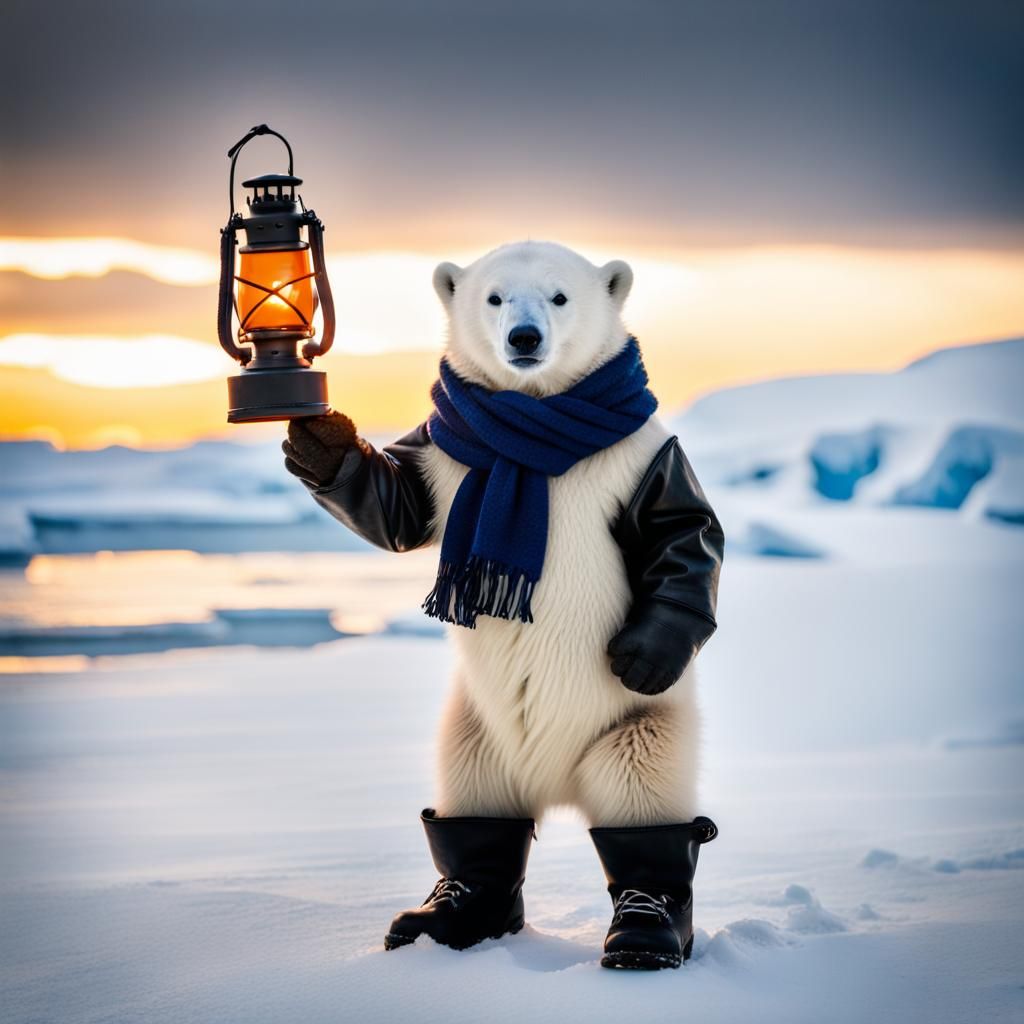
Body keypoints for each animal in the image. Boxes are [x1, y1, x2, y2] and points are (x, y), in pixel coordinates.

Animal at [283, 240, 724, 970]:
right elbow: (402, 511)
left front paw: (648, 648)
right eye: (493, 297)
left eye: (559, 296)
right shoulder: (442, 449)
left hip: (638, 725)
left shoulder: (642, 455)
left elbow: (681, 527)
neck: (536, 432)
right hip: (477, 724)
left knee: (639, 797)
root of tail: (553, 779)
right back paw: (451, 909)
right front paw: (324, 441)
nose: (523, 337)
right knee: (473, 796)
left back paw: (645, 928)